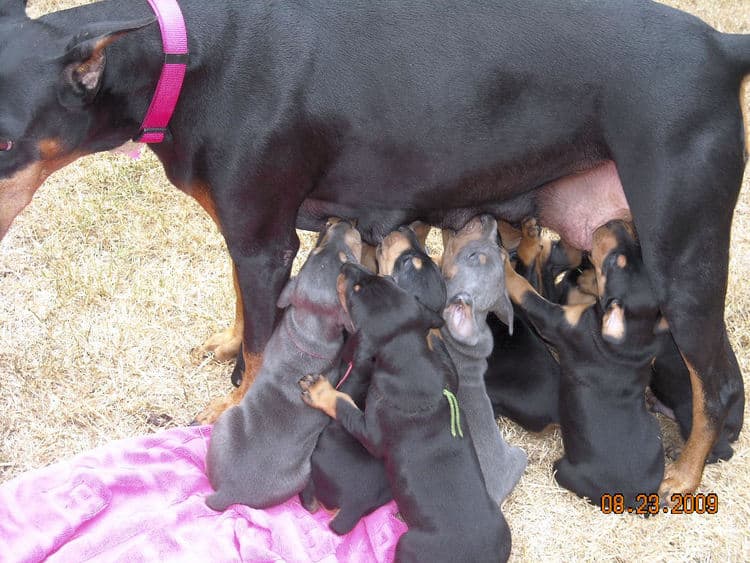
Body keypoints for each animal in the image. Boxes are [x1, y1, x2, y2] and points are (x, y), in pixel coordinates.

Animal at [204, 220, 362, 512]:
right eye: (345, 261)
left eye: (315, 251)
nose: (340, 221)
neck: (307, 330)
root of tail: (226, 494)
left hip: (224, 426)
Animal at [300, 264, 512, 563]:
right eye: (387, 278)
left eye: (355, 292)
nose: (345, 266)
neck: (411, 360)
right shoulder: (448, 376)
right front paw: (438, 329)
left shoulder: (373, 433)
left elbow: (344, 404)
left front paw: (319, 391)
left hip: (408, 543)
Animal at [506, 220, 664, 512]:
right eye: (634, 253)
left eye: (614, 262)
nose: (612, 223)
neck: (635, 333)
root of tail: (635, 500)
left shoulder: (555, 322)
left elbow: (526, 289)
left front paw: (504, 266)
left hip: (563, 470)